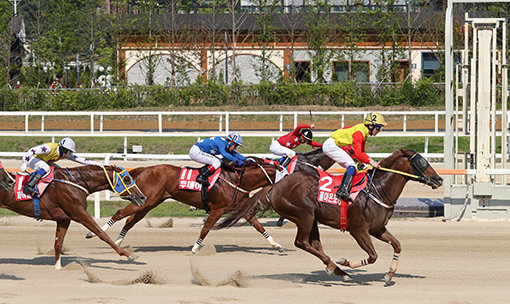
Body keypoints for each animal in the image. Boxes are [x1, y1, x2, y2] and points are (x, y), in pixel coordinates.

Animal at [0, 165, 146, 270]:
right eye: (127, 179)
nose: (142, 197)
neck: (75, 182)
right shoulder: (79, 213)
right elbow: (102, 234)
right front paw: (128, 255)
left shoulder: (64, 219)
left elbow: (58, 243)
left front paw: (58, 267)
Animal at [86, 148, 334, 253]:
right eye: (297, 169)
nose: (312, 181)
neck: (238, 179)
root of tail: (145, 169)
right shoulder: (217, 209)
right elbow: (206, 229)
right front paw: (195, 248)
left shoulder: (242, 209)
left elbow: (259, 227)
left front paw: (277, 245)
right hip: (147, 201)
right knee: (120, 213)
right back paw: (95, 233)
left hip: (148, 202)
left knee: (130, 221)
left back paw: (117, 241)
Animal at [217, 148, 444, 284]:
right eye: (422, 162)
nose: (439, 179)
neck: (378, 189)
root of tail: (275, 186)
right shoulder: (359, 230)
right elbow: (373, 256)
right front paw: (346, 261)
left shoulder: (378, 229)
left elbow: (397, 245)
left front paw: (389, 275)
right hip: (304, 214)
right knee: (301, 243)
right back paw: (337, 268)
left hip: (312, 219)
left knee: (314, 244)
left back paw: (335, 269)